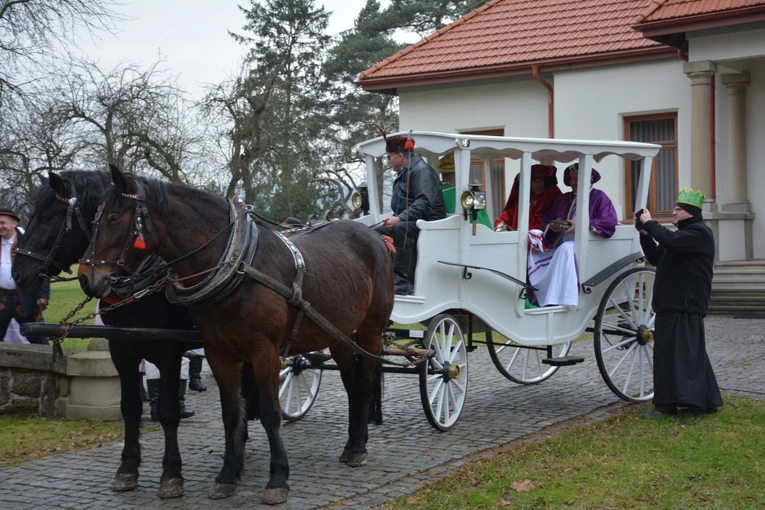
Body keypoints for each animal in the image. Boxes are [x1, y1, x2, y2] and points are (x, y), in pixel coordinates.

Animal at [77, 166, 394, 502]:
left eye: (114, 217)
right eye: (93, 219)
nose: (86, 277)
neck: (235, 263)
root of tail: (373, 235)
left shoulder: (264, 352)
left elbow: (270, 412)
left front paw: (277, 478)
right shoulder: (218, 353)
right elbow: (231, 412)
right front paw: (228, 474)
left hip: (370, 330)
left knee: (363, 383)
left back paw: (358, 448)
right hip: (339, 334)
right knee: (350, 385)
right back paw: (350, 444)